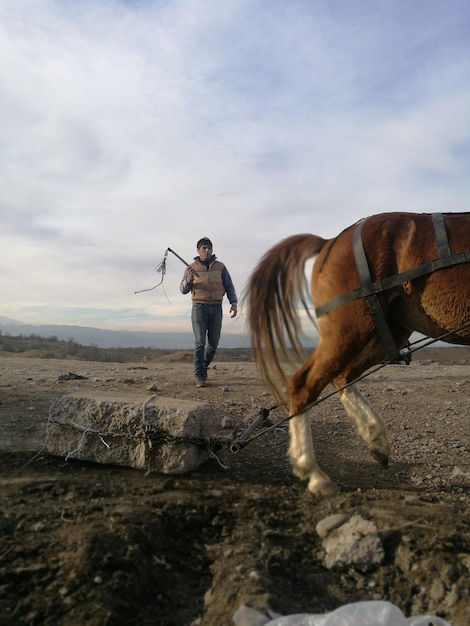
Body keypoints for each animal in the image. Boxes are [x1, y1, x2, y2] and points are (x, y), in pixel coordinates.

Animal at [246, 212, 470, 494]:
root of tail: (329, 241)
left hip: (386, 330)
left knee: (343, 376)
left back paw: (376, 439)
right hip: (350, 328)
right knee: (304, 384)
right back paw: (313, 472)